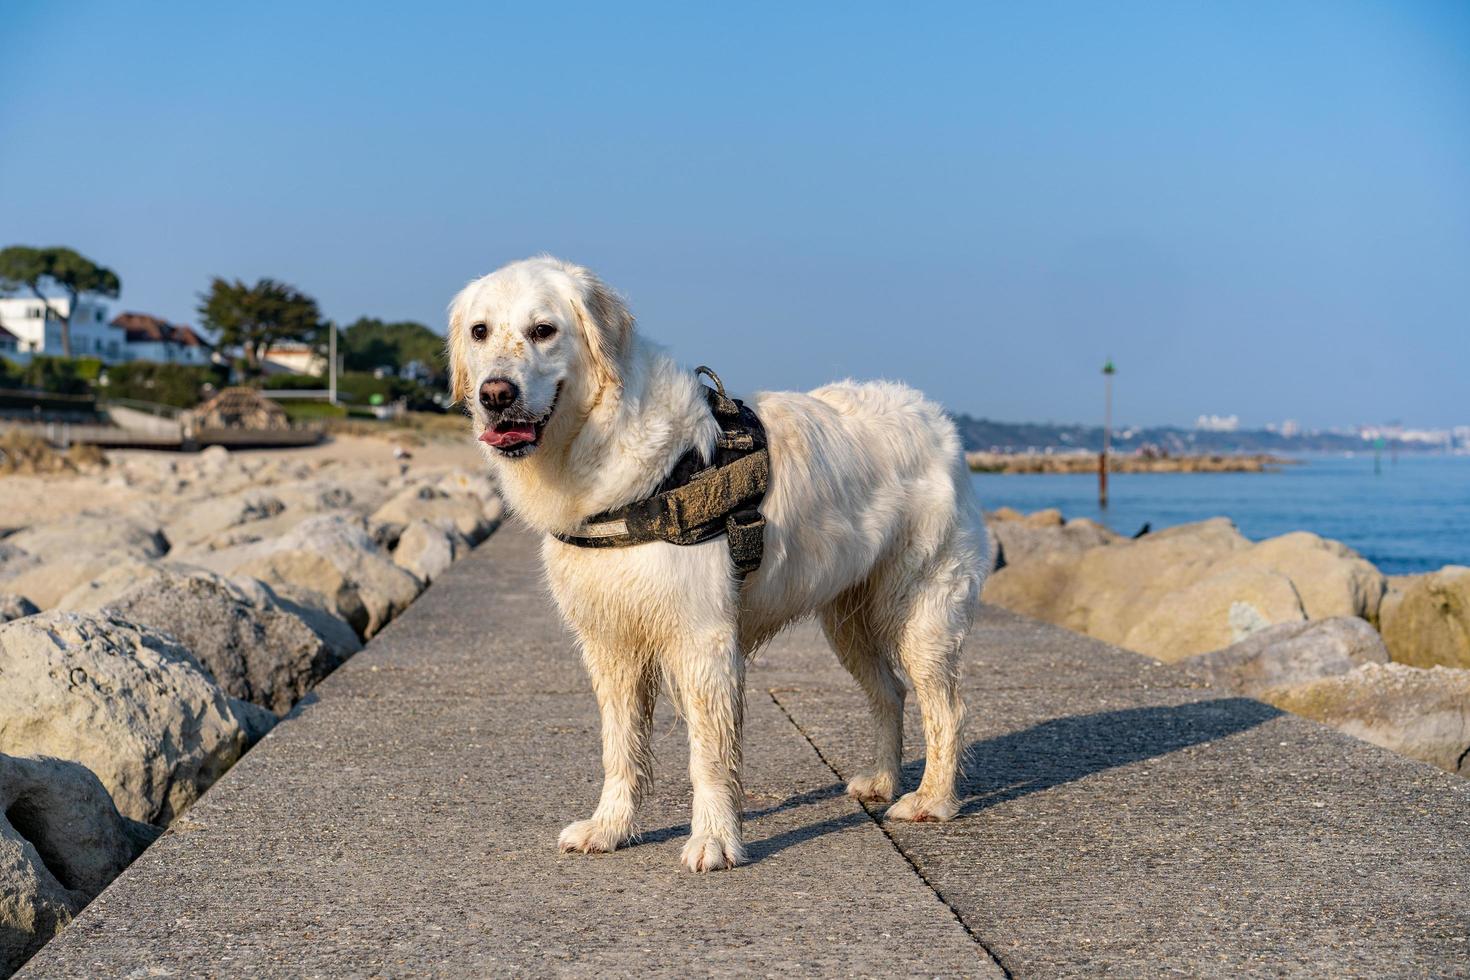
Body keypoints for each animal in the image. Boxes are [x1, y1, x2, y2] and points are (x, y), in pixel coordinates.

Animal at [446, 255, 987, 875]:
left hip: (919, 607)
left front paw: (714, 840)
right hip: (846, 618)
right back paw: (880, 780)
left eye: (543, 330)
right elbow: (620, 747)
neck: (606, 454)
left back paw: (930, 800)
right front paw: (609, 828)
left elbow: (708, 753)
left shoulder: (702, 637)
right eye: (480, 331)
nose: (495, 393)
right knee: (890, 692)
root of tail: (936, 417)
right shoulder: (611, 642)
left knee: (945, 707)